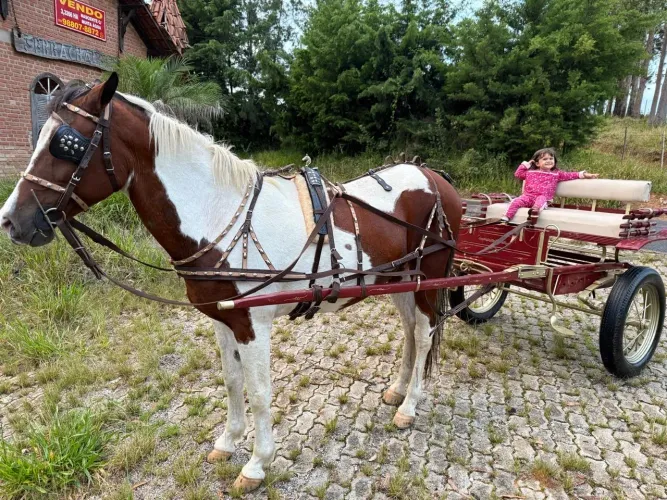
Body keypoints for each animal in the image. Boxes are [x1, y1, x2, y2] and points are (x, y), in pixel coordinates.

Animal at [0, 74, 461, 492]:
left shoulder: (253, 325)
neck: (217, 213)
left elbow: (258, 391)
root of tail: (437, 178)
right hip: (399, 279)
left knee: (424, 333)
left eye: (68, 144)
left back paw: (410, 405)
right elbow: (232, 381)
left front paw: (257, 464)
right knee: (410, 332)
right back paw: (397, 390)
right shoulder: (223, 320)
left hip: (429, 277)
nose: (10, 221)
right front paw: (228, 441)